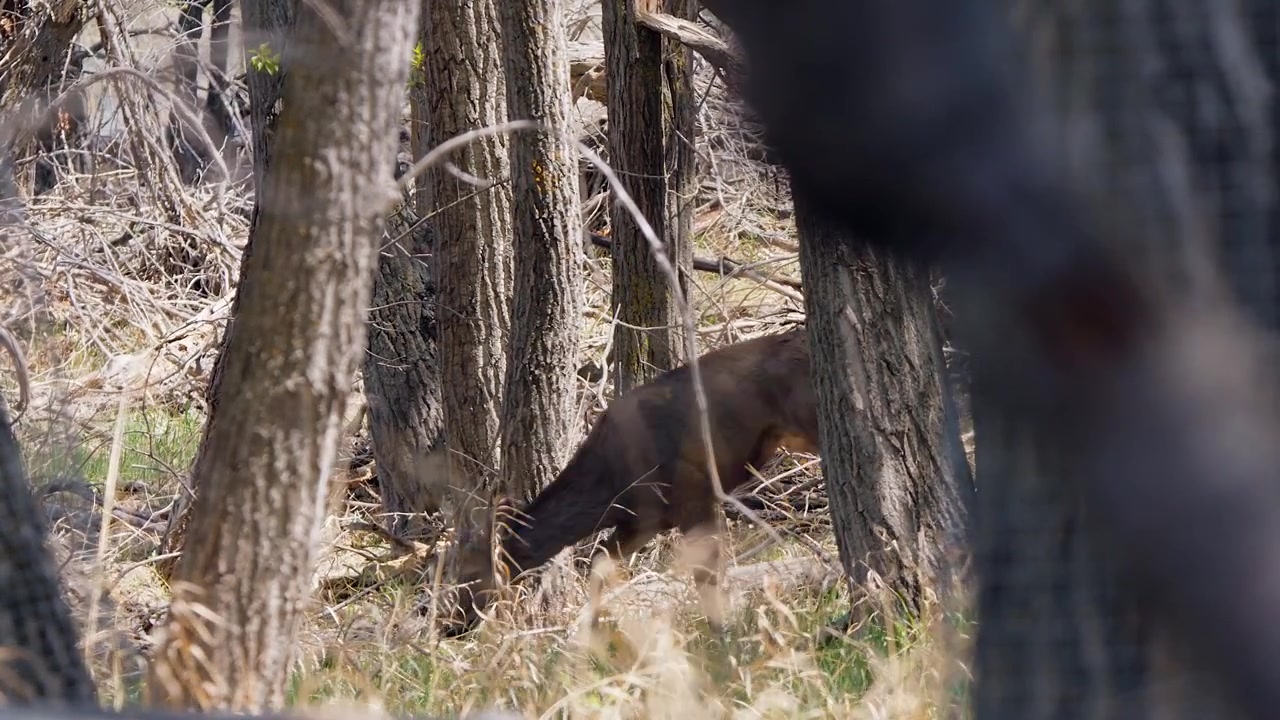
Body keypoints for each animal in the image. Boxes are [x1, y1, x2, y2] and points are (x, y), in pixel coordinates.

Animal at [438, 328, 820, 637]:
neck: (610, 485)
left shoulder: (694, 495)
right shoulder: (642, 522)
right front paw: (592, 632)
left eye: (471, 576)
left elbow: (707, 573)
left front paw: (723, 635)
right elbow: (600, 562)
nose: (449, 625)